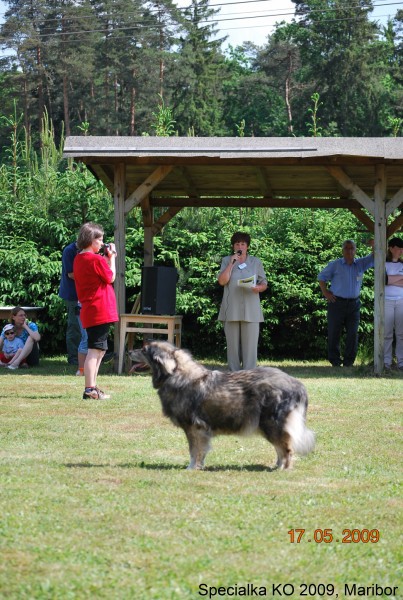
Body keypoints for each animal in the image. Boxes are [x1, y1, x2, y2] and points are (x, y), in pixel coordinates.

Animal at [129, 340, 316, 472]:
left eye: (144, 350)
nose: (129, 351)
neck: (175, 374)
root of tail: (299, 386)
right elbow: (201, 451)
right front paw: (199, 466)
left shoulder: (193, 428)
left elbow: (194, 450)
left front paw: (191, 468)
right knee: (280, 447)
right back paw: (277, 466)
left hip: (272, 424)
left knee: (286, 449)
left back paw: (284, 468)